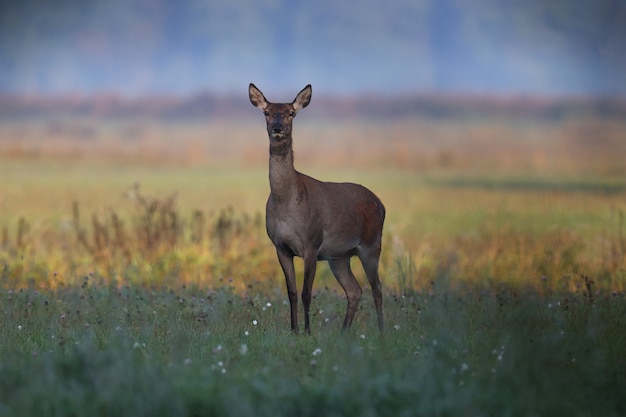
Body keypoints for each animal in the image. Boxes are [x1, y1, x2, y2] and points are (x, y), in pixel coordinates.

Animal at [249, 83, 386, 334]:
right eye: (267, 112)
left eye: (291, 113)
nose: (277, 128)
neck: (286, 203)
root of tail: (381, 204)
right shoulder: (280, 247)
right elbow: (292, 293)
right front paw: (293, 330)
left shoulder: (312, 244)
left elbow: (306, 293)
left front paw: (307, 331)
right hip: (339, 256)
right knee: (355, 290)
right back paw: (344, 332)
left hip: (371, 244)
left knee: (377, 288)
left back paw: (381, 332)